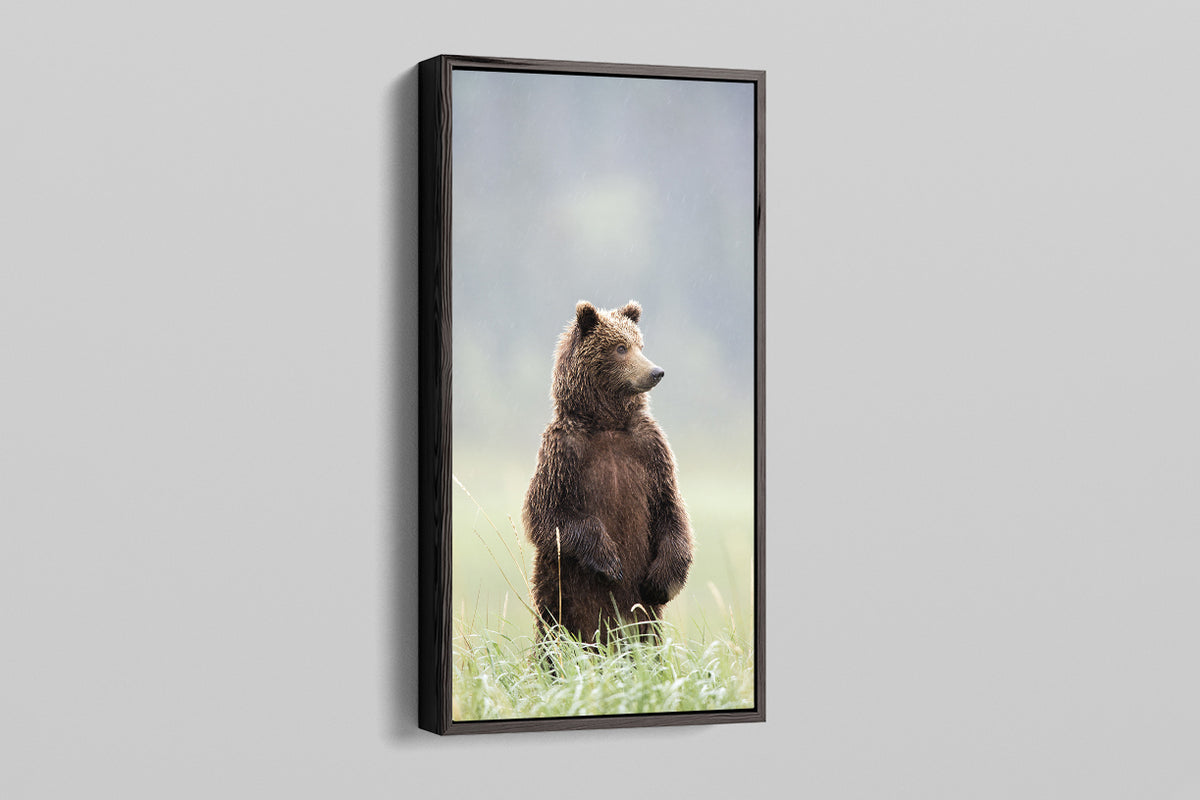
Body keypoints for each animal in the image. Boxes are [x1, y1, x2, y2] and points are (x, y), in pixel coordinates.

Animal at [522, 300, 693, 647]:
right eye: (620, 347)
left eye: (640, 345)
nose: (656, 371)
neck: (608, 423)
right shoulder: (563, 451)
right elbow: (546, 514)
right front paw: (610, 561)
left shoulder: (651, 450)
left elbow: (671, 508)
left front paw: (660, 581)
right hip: (558, 592)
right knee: (552, 635)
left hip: (645, 620)